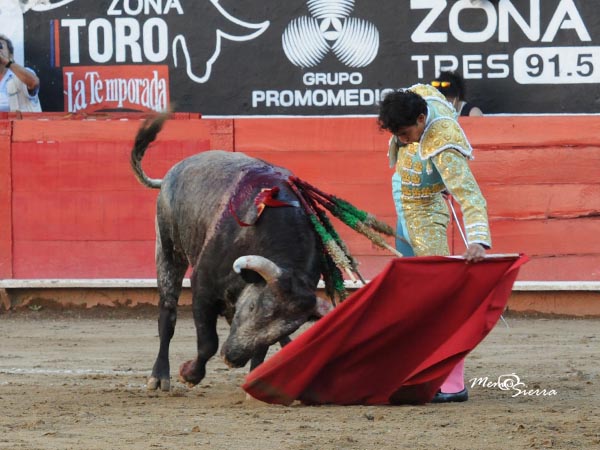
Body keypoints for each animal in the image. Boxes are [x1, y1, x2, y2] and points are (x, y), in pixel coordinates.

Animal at [130, 115, 332, 390]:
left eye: (285, 328)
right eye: (252, 308)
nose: (232, 358)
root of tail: (174, 171)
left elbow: (260, 348)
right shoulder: (202, 286)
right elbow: (208, 343)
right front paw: (189, 374)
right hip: (168, 249)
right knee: (167, 314)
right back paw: (159, 377)